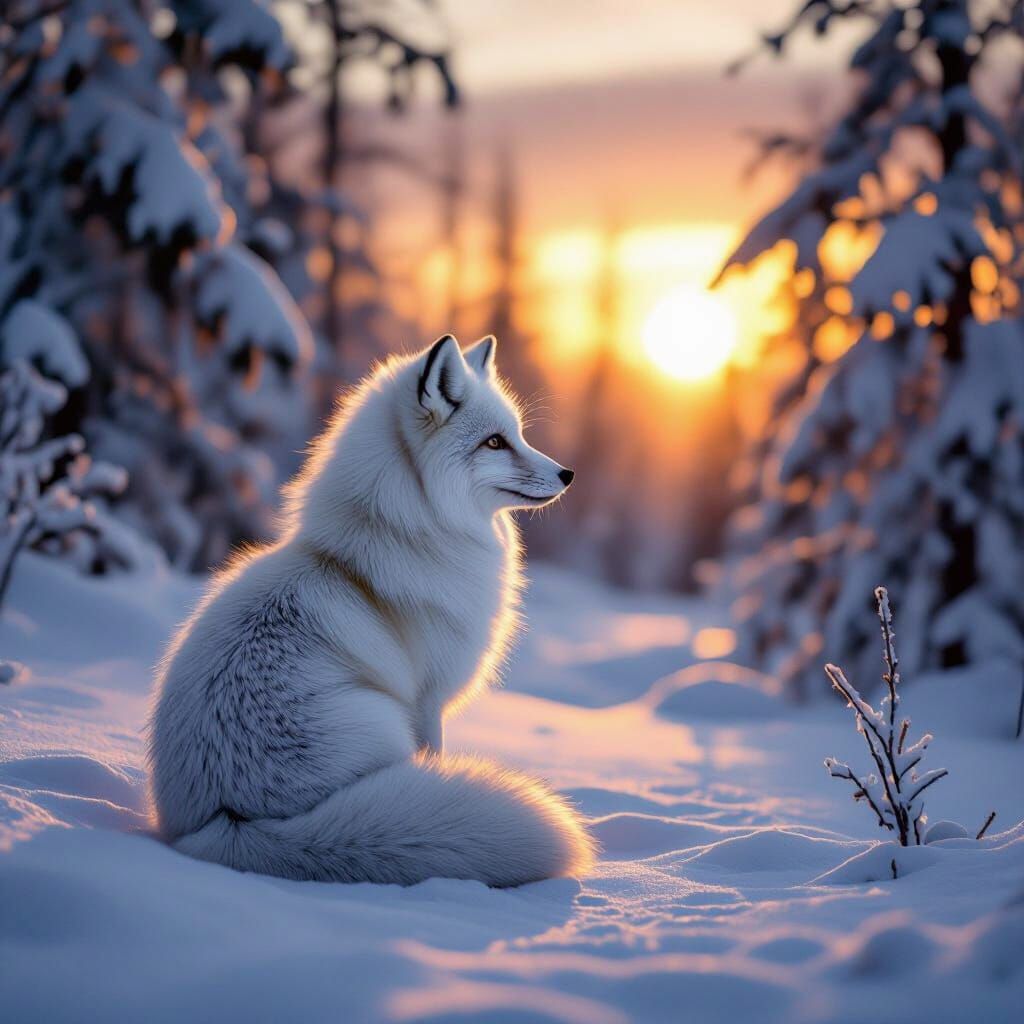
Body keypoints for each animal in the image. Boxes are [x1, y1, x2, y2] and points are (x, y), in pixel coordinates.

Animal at [148, 334, 595, 887]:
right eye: (495, 443)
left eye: (517, 434)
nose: (568, 474)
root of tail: (218, 823)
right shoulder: (427, 702)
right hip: (386, 725)